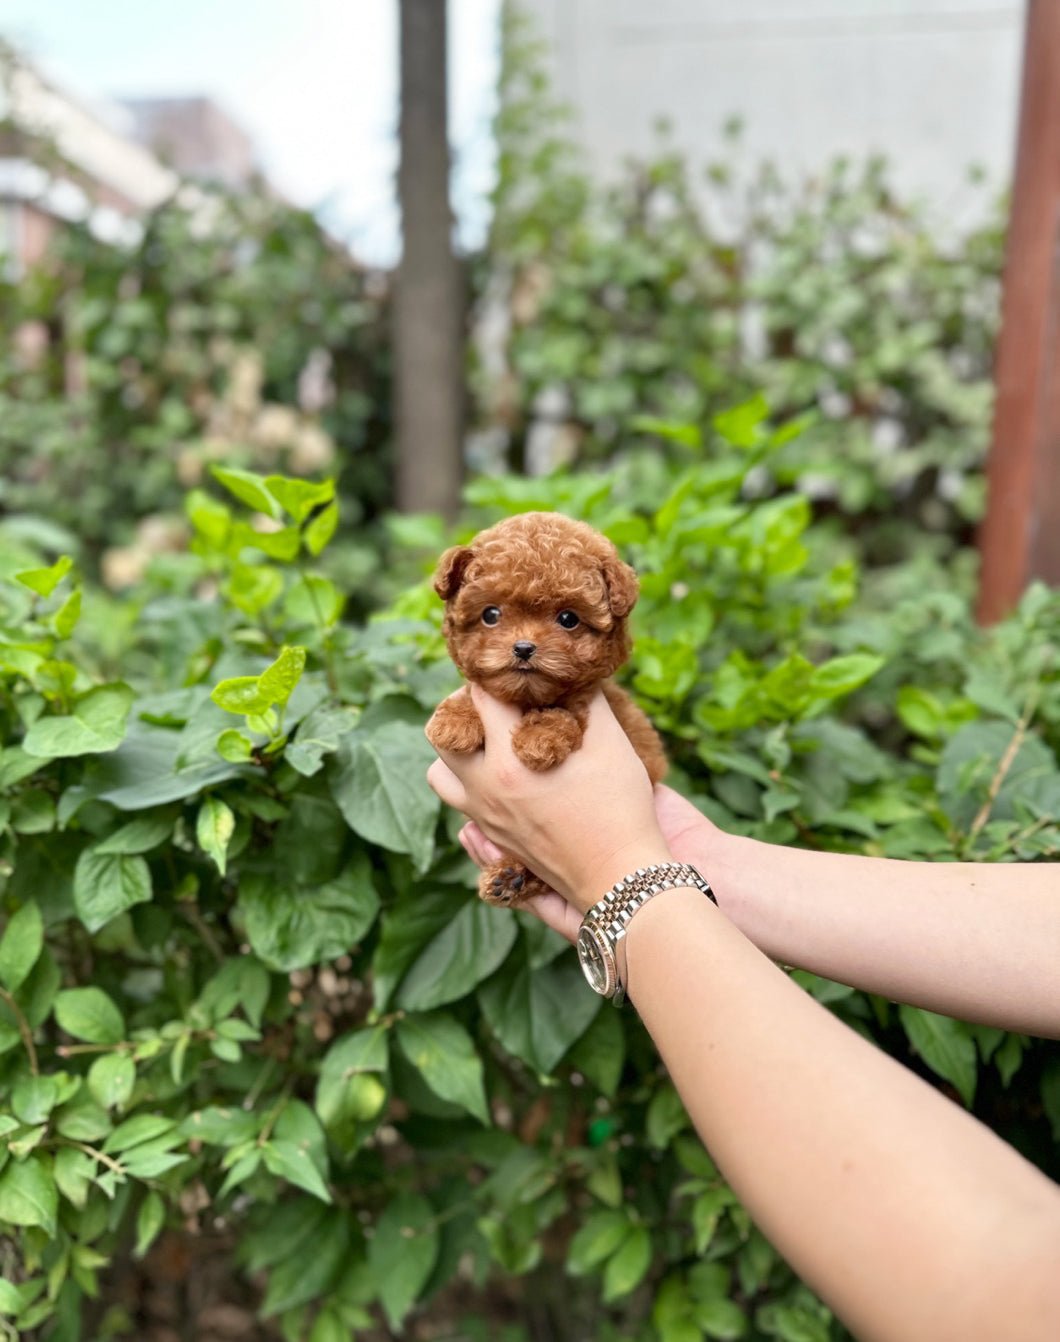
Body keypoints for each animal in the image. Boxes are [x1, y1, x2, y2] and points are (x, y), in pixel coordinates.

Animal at [421, 507, 665, 907]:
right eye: (490, 614)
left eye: (568, 619)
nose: (523, 647)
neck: (527, 700)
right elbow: (471, 692)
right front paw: (454, 722)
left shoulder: (590, 703)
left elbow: (565, 714)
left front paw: (539, 738)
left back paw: (514, 876)